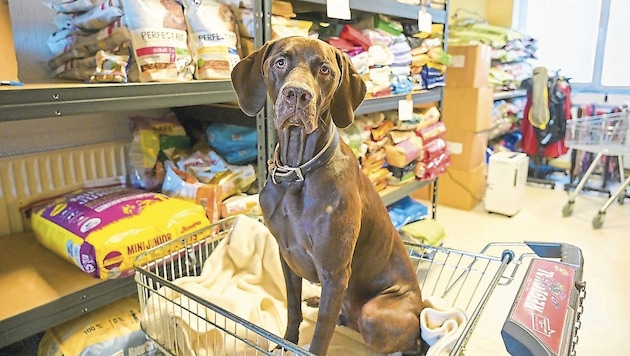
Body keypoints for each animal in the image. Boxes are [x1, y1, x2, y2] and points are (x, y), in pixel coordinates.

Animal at [230, 36, 428, 356]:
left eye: (324, 69)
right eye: (280, 62)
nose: (297, 94)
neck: (297, 172)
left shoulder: (335, 274)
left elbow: (321, 335)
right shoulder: (287, 258)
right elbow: (293, 309)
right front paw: (288, 341)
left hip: (374, 314)